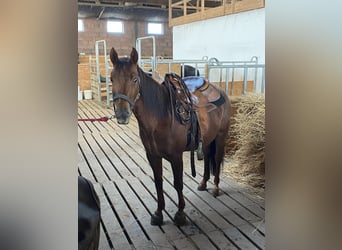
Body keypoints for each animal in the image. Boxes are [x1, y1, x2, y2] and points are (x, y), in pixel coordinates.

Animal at [110, 47, 232, 227]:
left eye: (134, 79)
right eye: (111, 78)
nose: (122, 114)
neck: (162, 115)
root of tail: (219, 90)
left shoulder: (176, 157)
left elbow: (178, 184)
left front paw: (180, 214)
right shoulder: (152, 156)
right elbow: (158, 182)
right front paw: (158, 213)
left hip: (221, 136)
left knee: (216, 159)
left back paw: (216, 188)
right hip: (207, 139)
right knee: (207, 158)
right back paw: (203, 184)